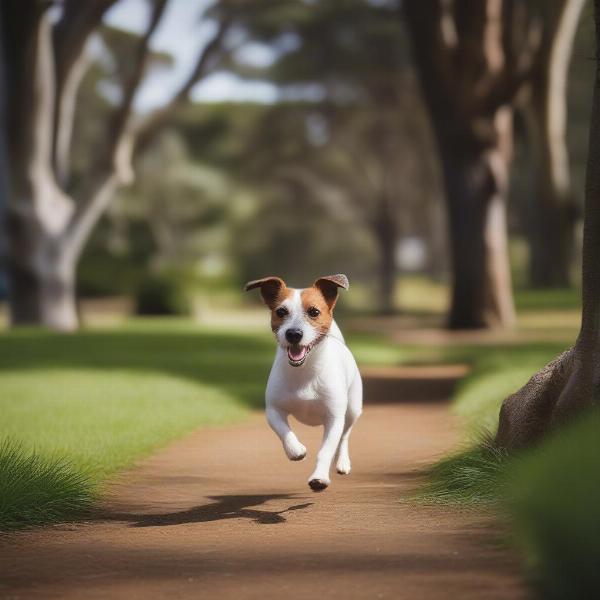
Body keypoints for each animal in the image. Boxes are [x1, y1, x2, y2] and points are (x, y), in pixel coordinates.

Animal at [246, 274, 364, 490]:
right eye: (281, 311)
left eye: (314, 311)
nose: (294, 333)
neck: (304, 371)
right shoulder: (273, 410)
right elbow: (284, 431)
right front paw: (295, 450)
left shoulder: (334, 418)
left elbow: (326, 450)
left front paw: (319, 477)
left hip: (352, 410)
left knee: (344, 436)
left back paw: (343, 462)